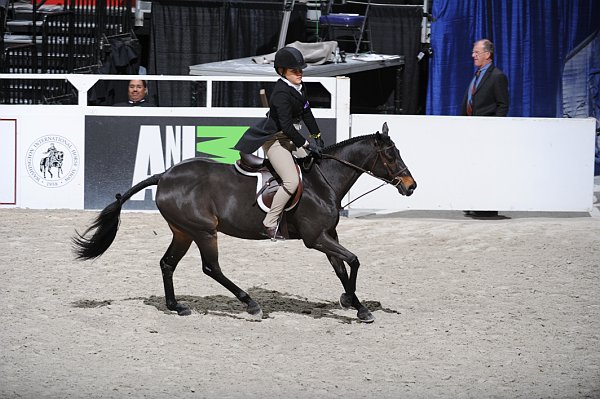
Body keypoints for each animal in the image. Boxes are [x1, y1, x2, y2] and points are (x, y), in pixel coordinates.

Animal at [71, 123, 418, 324]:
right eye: (390, 155)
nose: (411, 186)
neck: (323, 180)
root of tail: (165, 175)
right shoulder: (316, 238)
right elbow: (354, 260)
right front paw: (360, 307)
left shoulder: (327, 235)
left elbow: (342, 268)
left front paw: (351, 299)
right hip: (204, 231)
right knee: (211, 268)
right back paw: (250, 305)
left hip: (183, 231)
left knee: (167, 263)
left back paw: (176, 306)